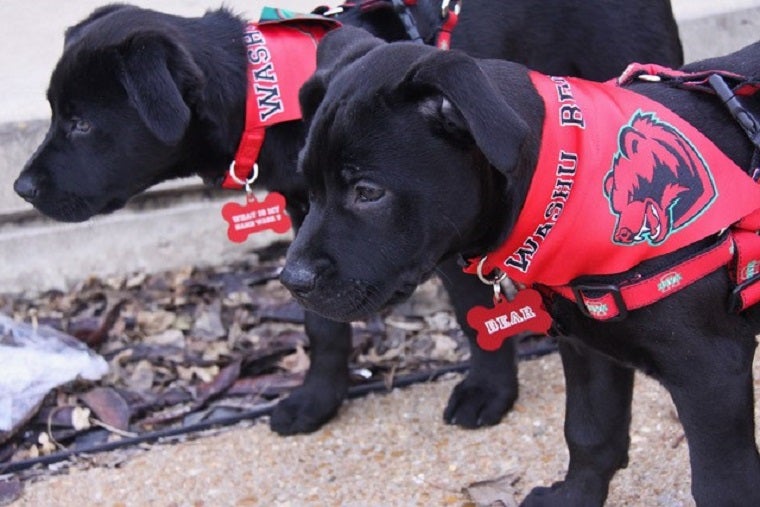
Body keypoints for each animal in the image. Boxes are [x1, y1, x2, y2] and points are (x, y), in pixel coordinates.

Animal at [14, 0, 684, 436]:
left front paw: (489, 390)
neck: (260, 91)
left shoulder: (437, 223)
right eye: (55, 113)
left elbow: (471, 310)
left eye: (80, 122)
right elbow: (322, 323)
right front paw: (319, 398)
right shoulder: (309, 214)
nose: (20, 187)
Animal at [282, 28, 760, 507]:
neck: (563, 185)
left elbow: (722, 486)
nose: (291, 281)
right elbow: (590, 433)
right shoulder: (586, 344)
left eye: (368, 192)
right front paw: (574, 498)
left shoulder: (711, 372)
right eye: (307, 189)